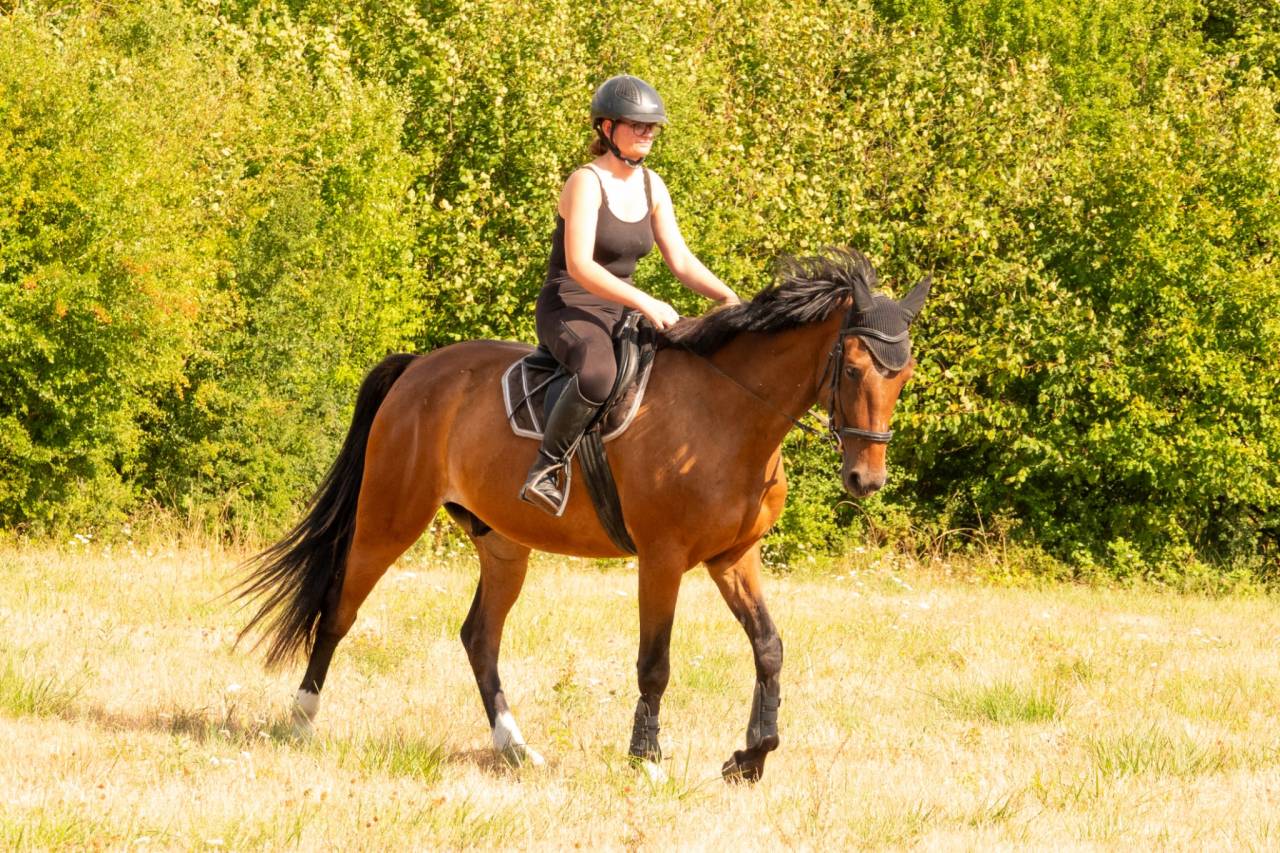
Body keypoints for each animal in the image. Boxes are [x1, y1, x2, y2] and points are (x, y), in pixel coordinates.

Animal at [235, 248, 930, 783]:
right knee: (340, 607)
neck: (731, 416)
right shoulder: (663, 559)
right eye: (855, 367)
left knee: (479, 636)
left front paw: (750, 758)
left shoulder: (734, 558)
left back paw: (516, 749)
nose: (866, 480)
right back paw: (301, 721)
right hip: (390, 518)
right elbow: (656, 662)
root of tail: (418, 367)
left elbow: (769, 648)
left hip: (503, 542)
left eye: (905, 374)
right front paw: (646, 761)